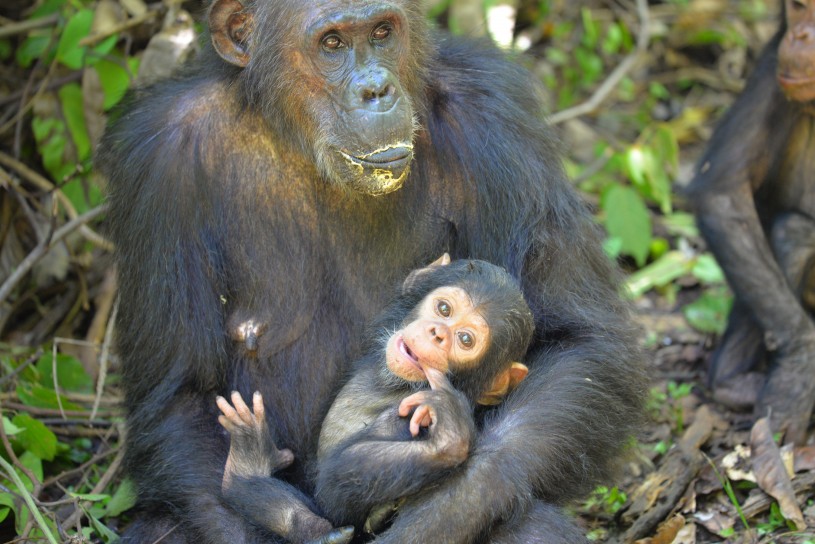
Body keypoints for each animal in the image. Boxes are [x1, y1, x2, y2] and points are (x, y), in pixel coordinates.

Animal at [215, 258, 556, 540]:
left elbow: (338, 485)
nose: (437, 334)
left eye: (465, 339)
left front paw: (449, 436)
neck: (392, 384)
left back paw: (247, 464)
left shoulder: (412, 413)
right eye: (444, 310)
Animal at [688, 0, 815, 444]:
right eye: (799, 7)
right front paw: (798, 372)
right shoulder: (770, 67)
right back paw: (735, 381)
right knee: (792, 237)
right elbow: (723, 193)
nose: (800, 36)